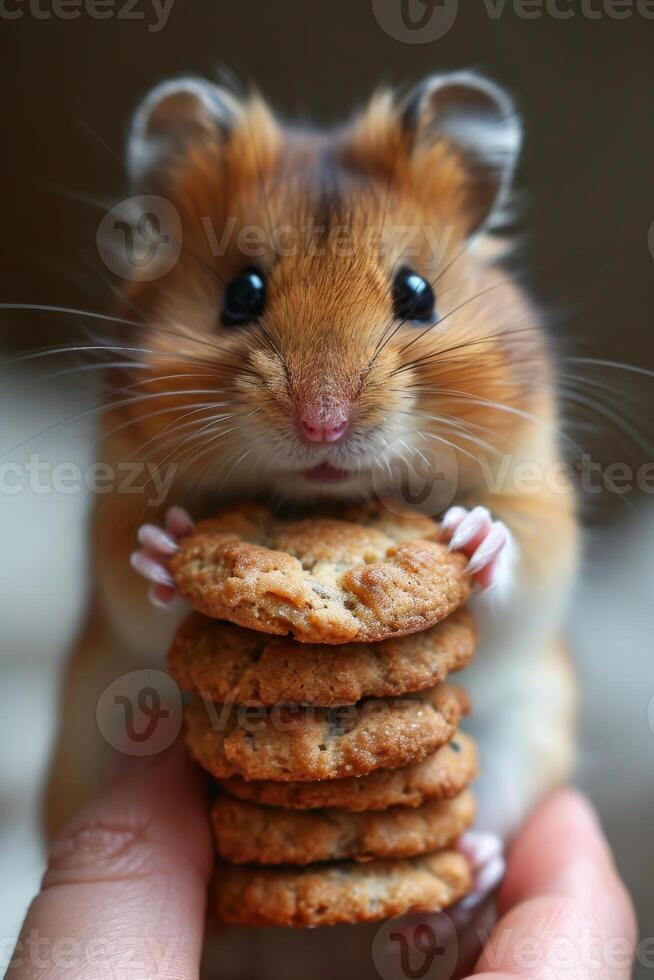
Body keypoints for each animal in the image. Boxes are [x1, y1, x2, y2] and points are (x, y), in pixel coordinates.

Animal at [44, 72, 580, 864]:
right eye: (241, 292)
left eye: (418, 292)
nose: (322, 423)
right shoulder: (113, 513)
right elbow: (136, 579)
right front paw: (167, 547)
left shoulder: (540, 502)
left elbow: (520, 562)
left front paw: (471, 535)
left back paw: (476, 865)